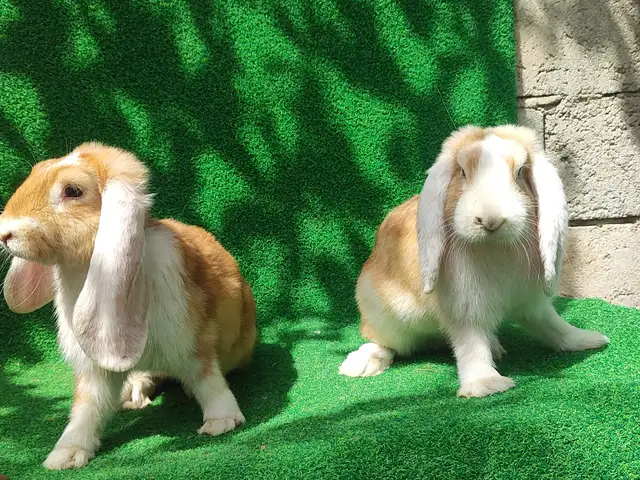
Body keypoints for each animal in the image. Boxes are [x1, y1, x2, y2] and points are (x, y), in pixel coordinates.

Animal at [0, 142, 257, 469]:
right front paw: (65, 455)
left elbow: (208, 380)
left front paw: (222, 422)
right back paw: (132, 394)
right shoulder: (94, 371)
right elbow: (87, 409)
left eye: (73, 191)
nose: (4, 233)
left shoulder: (191, 343)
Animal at [338, 124, 609, 398]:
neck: (494, 249)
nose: (491, 220)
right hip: (384, 318)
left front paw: (589, 340)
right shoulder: (465, 308)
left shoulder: (532, 303)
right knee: (385, 342)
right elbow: (471, 344)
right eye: (462, 171)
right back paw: (361, 364)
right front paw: (486, 385)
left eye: (520, 172)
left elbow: (553, 326)